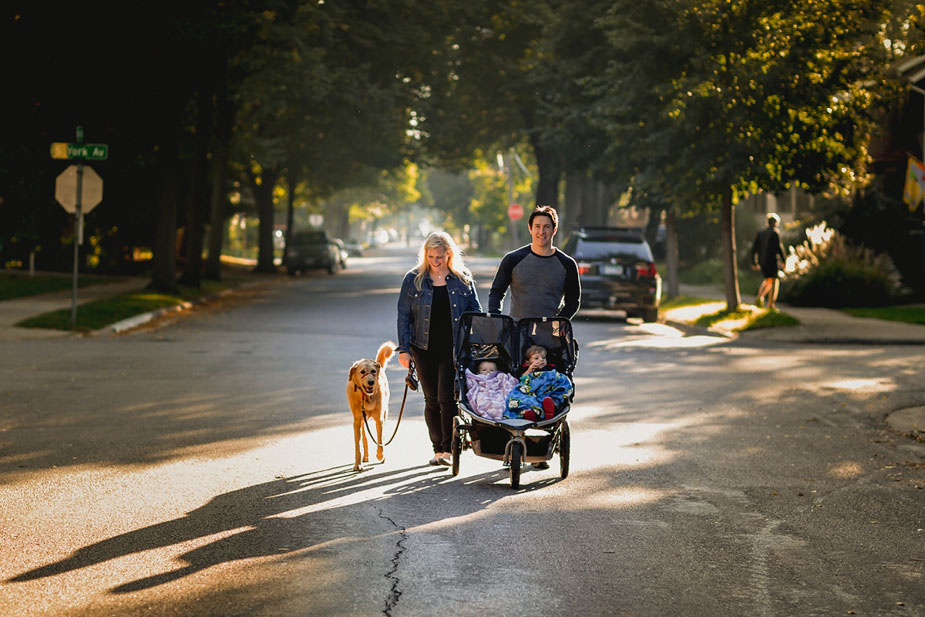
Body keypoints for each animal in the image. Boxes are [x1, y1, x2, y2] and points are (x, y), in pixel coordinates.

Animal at [342, 342, 394, 472]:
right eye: (362, 371)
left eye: (373, 371)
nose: (371, 382)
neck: (366, 396)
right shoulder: (356, 422)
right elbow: (358, 445)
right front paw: (357, 464)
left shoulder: (379, 420)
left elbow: (380, 439)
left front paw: (381, 455)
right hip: (362, 422)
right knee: (364, 438)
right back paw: (365, 457)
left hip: (384, 414)